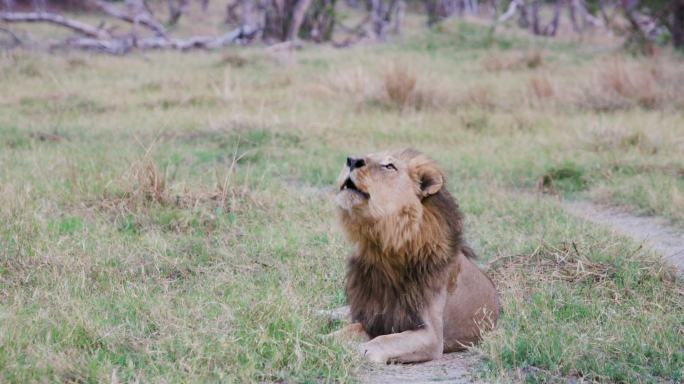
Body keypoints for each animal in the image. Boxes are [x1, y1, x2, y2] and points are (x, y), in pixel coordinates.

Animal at [334, 149, 500, 364]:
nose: (352, 160)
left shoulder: (432, 336)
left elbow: (384, 340)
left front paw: (357, 351)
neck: (384, 249)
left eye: (389, 166)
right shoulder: (373, 316)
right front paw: (322, 339)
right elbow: (349, 329)